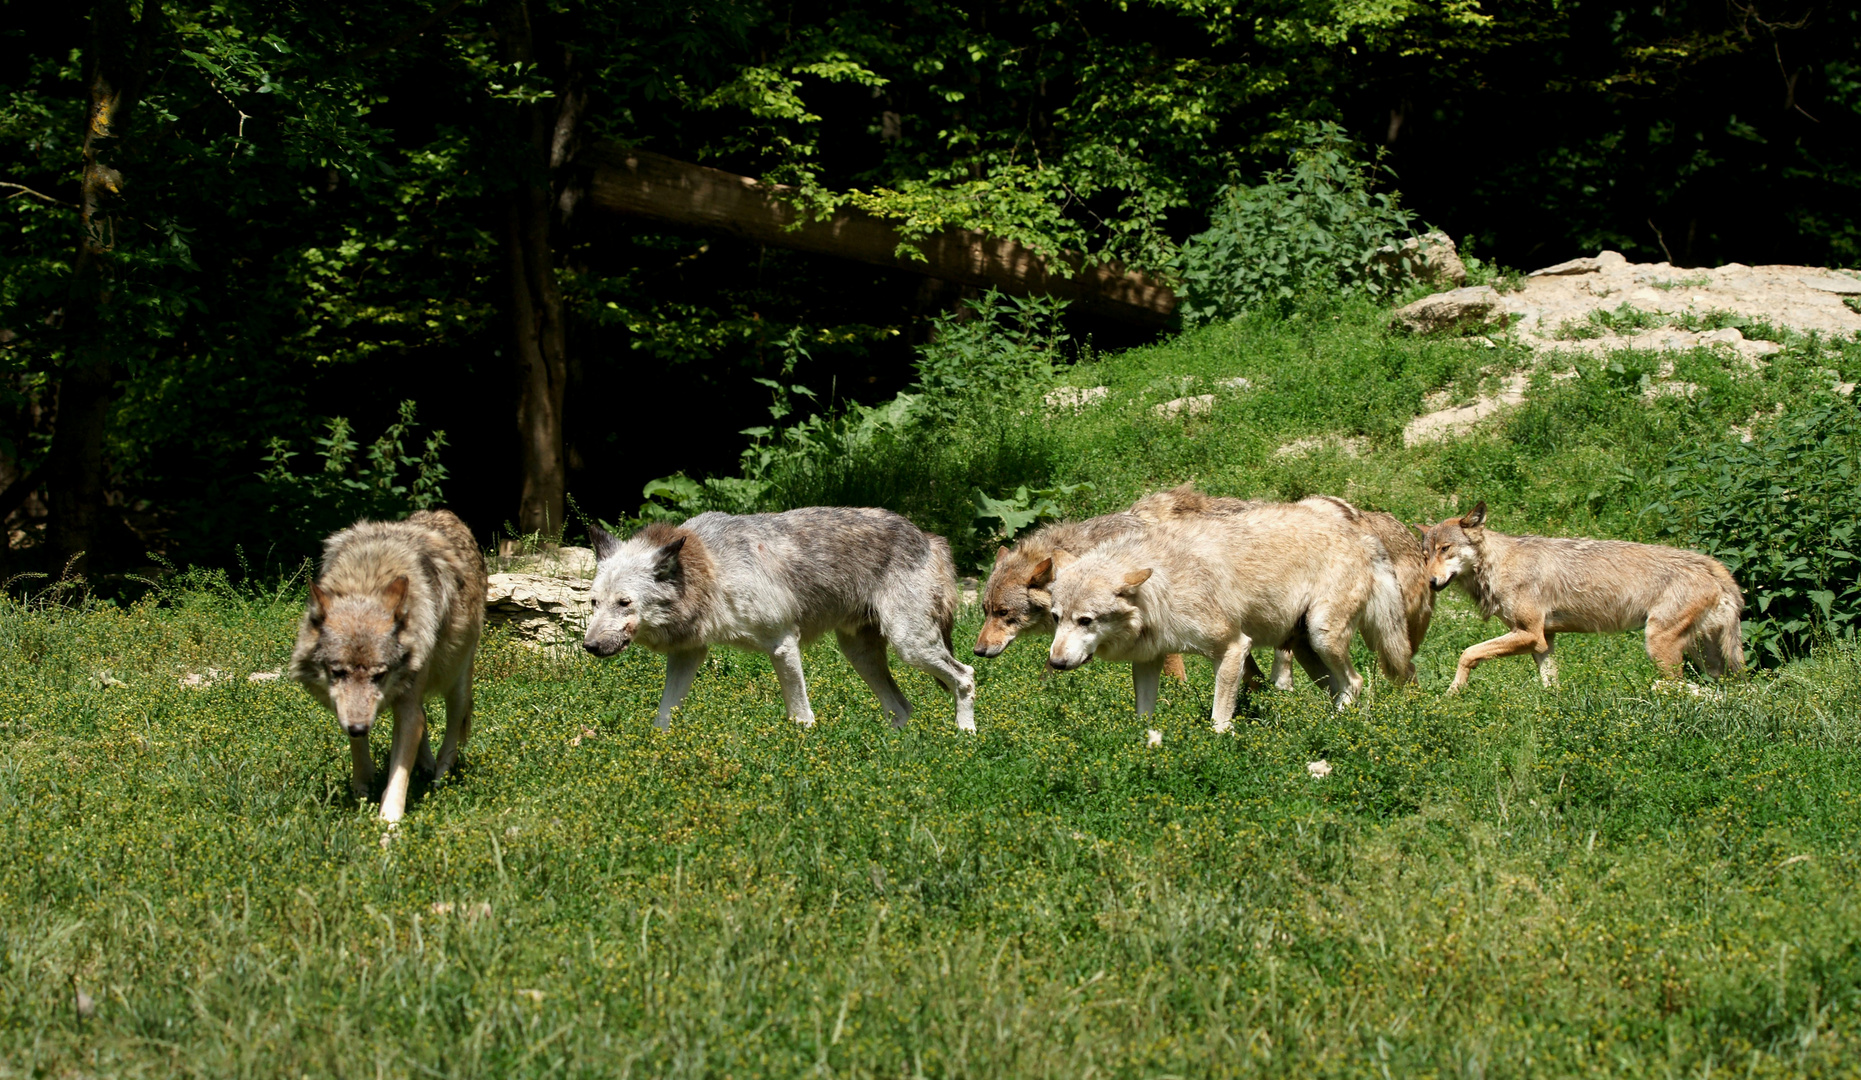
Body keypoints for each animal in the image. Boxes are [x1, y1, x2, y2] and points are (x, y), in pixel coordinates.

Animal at [284, 510, 483, 823]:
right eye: (337, 672)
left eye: (380, 675)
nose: (358, 728)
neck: (368, 578)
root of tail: (443, 513)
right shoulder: (351, 712)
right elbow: (360, 751)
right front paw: (361, 790)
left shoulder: (405, 705)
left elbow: (398, 775)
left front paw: (389, 823)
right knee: (424, 720)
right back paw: (425, 765)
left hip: (459, 684)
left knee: (451, 732)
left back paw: (440, 777)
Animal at [588, 510, 982, 729]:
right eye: (594, 603)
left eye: (624, 603)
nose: (589, 646)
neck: (712, 570)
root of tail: (929, 537)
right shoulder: (688, 654)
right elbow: (663, 716)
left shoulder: (782, 645)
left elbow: (800, 716)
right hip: (862, 656)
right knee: (902, 707)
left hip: (910, 647)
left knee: (965, 676)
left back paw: (964, 736)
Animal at [1042, 502, 1399, 729]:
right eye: (1057, 618)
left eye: (1086, 620)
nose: (1055, 663)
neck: (1163, 587)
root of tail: (1364, 539)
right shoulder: (1147, 660)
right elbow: (1143, 717)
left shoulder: (1233, 648)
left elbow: (1219, 719)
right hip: (1308, 650)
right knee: (1340, 688)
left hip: (1322, 636)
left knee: (1355, 682)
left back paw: (1333, 728)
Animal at [1421, 499, 1741, 692]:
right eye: (1426, 555)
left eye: (1446, 549)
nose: (1430, 582)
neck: (1498, 565)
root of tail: (1712, 566)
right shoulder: (1543, 641)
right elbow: (1550, 685)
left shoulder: (1529, 633)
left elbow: (1467, 653)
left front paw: (1452, 693)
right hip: (1707, 657)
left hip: (1659, 645)